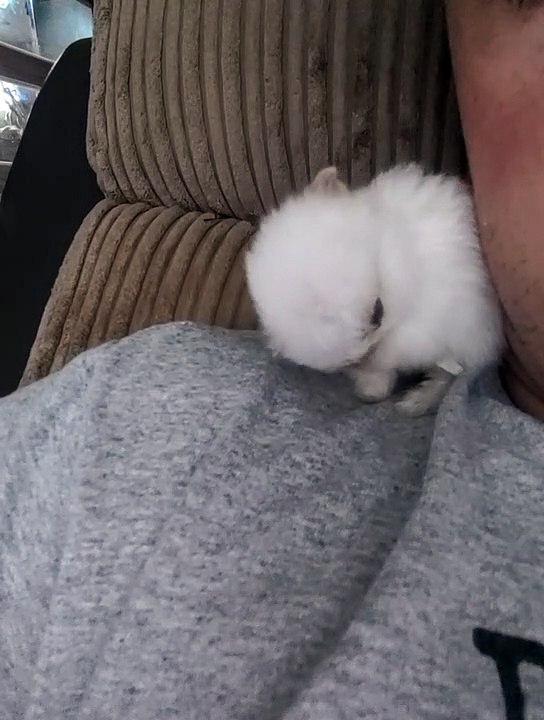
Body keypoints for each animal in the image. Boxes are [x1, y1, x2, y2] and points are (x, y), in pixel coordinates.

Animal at [245, 163, 503, 416]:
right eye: (347, 361)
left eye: (378, 312)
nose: (363, 358)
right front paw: (371, 390)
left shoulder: (434, 323)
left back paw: (416, 402)